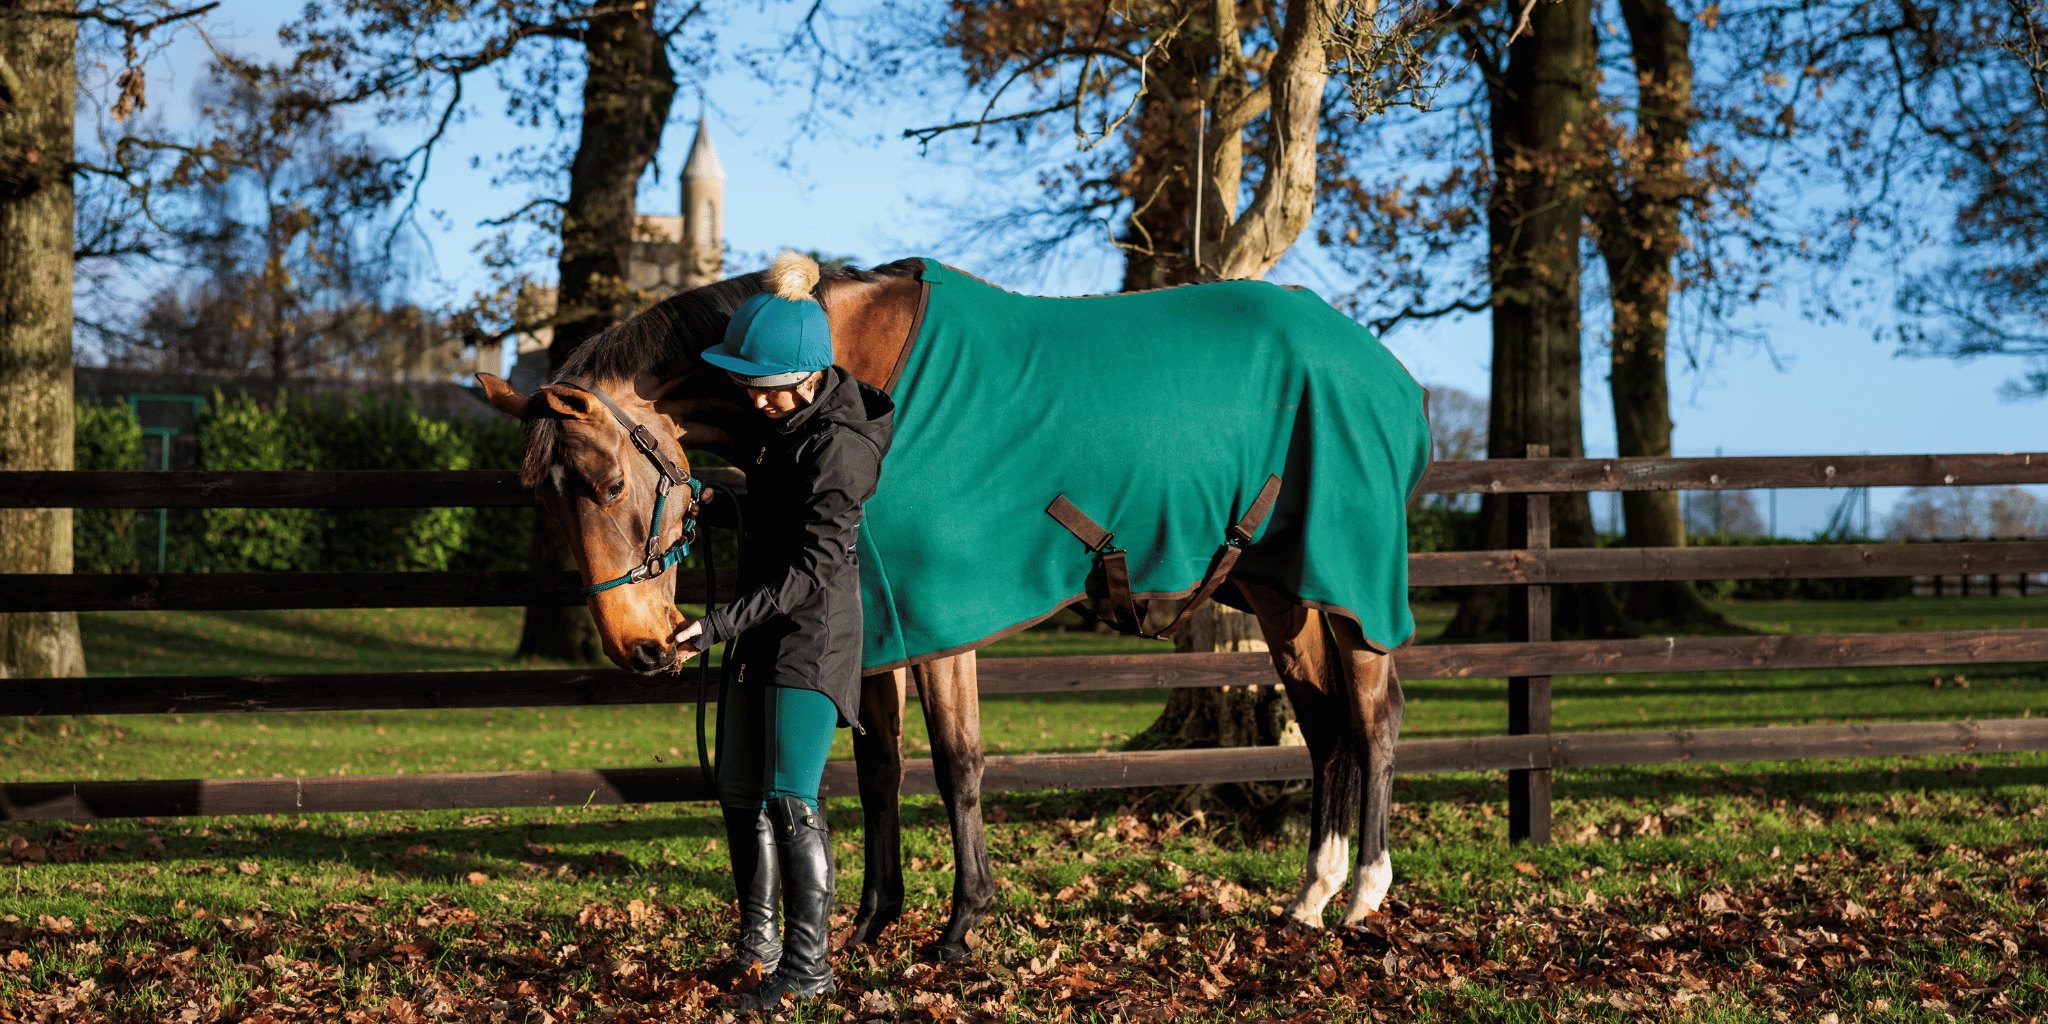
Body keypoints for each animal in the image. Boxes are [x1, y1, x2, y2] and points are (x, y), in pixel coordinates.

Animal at [476, 256, 1424, 961]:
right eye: (543, 502)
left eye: (605, 485)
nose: (642, 648)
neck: (856, 382)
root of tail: (1387, 373)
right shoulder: (878, 621)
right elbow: (880, 768)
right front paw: (870, 922)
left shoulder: (940, 626)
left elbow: (958, 764)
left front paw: (962, 926)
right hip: (1281, 590)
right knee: (1324, 727)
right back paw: (1310, 895)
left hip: (1353, 589)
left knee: (1375, 717)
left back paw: (1363, 896)